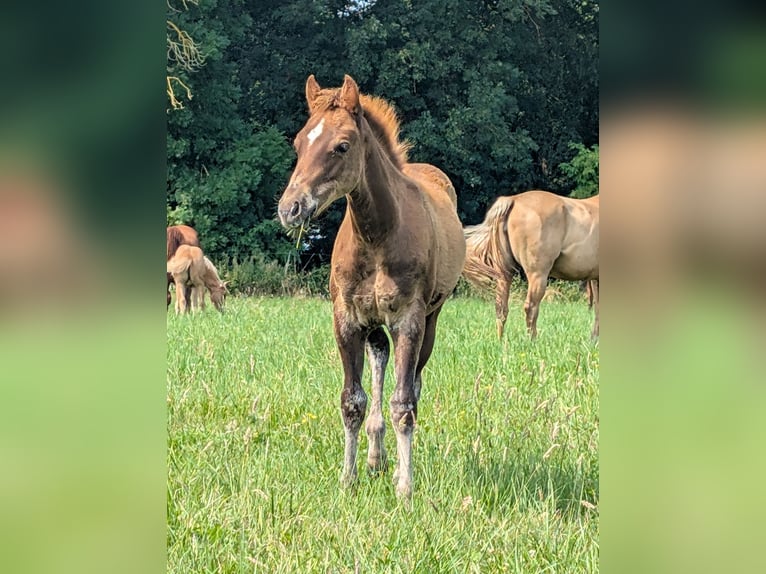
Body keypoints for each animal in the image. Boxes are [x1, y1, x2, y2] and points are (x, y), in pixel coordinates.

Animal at [277, 75, 466, 498]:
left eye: (342, 146)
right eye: (298, 143)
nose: (289, 208)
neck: (377, 235)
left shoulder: (409, 319)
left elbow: (404, 405)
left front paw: (405, 488)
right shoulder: (347, 319)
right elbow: (353, 401)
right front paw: (348, 479)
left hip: (430, 318)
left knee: (413, 383)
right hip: (374, 323)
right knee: (380, 361)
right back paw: (376, 458)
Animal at [463, 191, 599, 339]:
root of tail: (513, 199)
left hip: (504, 275)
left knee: (501, 308)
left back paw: (500, 340)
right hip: (538, 275)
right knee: (531, 307)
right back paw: (532, 340)